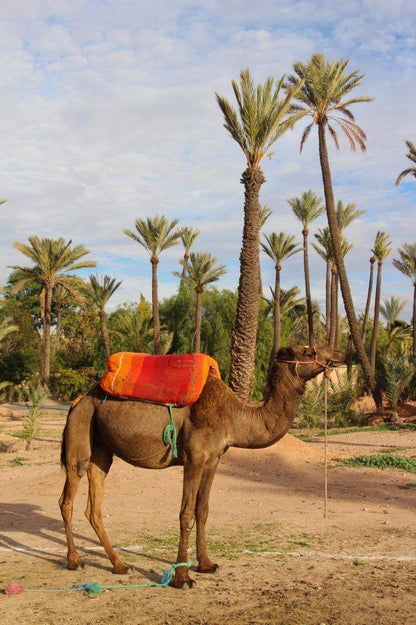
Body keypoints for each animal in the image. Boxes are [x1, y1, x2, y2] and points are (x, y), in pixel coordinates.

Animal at [59, 344, 344, 588]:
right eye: (307, 350)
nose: (338, 354)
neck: (233, 417)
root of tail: (78, 400)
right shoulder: (194, 457)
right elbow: (185, 513)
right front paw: (182, 578)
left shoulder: (213, 459)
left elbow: (202, 510)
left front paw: (206, 564)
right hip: (81, 434)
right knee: (67, 498)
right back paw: (75, 561)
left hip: (102, 450)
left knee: (94, 507)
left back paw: (120, 565)